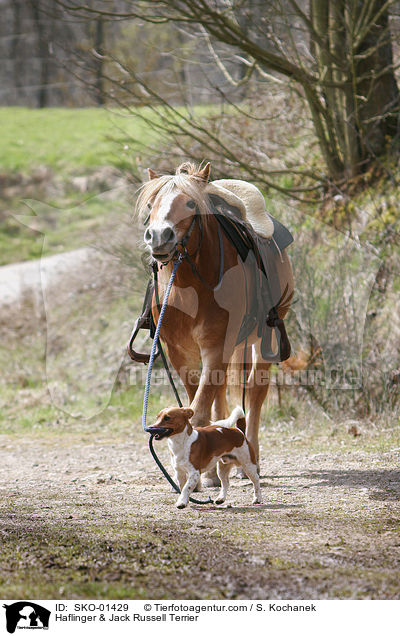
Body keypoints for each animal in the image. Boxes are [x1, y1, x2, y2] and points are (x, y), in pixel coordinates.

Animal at [136, 164, 292, 486]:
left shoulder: (216, 346)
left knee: (255, 391)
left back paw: (250, 458)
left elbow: (198, 409)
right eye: (151, 204)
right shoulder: (180, 352)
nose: (158, 236)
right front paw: (205, 472)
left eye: (190, 203)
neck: (188, 286)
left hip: (264, 337)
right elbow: (198, 404)